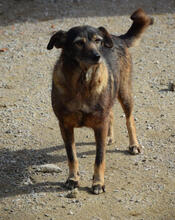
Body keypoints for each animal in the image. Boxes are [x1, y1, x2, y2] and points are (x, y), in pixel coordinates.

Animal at [46, 8, 153, 194]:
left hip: (124, 93)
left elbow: (99, 158)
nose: (97, 56)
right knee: (111, 114)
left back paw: (134, 144)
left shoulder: (99, 125)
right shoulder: (65, 125)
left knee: (129, 119)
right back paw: (110, 137)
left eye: (98, 41)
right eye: (79, 43)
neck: (82, 83)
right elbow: (71, 156)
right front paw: (73, 179)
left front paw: (98, 183)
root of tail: (117, 38)